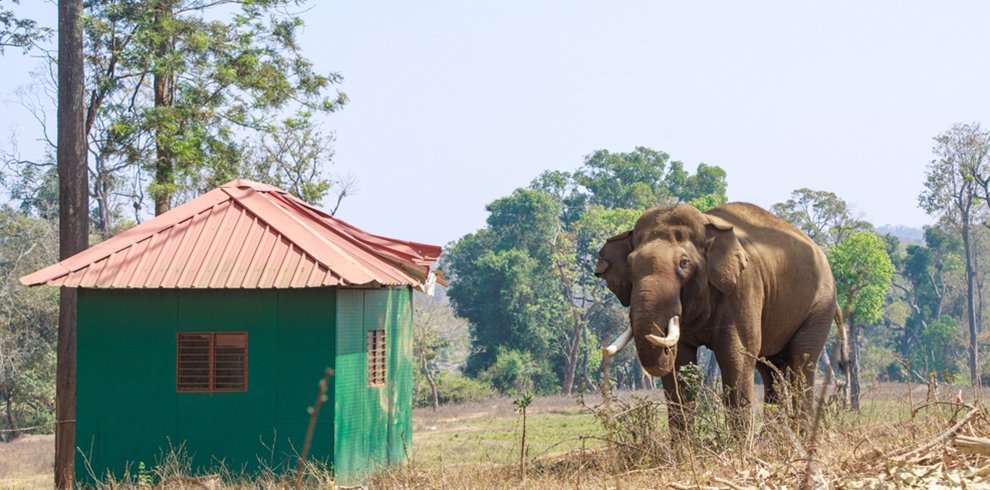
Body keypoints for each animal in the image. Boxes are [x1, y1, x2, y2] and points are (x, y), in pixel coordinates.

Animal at [592, 203, 848, 428]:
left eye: (684, 263)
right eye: (630, 266)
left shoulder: (743, 286)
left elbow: (736, 356)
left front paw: (740, 448)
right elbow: (680, 367)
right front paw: (683, 451)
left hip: (820, 306)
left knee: (801, 363)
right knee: (770, 371)